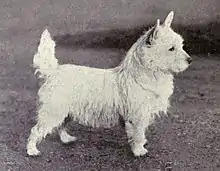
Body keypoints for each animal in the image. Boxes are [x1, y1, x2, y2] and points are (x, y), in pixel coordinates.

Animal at [26, 11, 191, 158]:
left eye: (181, 45)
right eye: (171, 48)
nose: (190, 60)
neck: (146, 75)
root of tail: (54, 72)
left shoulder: (143, 115)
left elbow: (141, 132)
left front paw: (142, 143)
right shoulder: (137, 116)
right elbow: (137, 133)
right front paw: (139, 151)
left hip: (65, 111)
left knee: (61, 125)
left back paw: (67, 139)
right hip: (53, 111)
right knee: (36, 130)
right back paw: (32, 150)